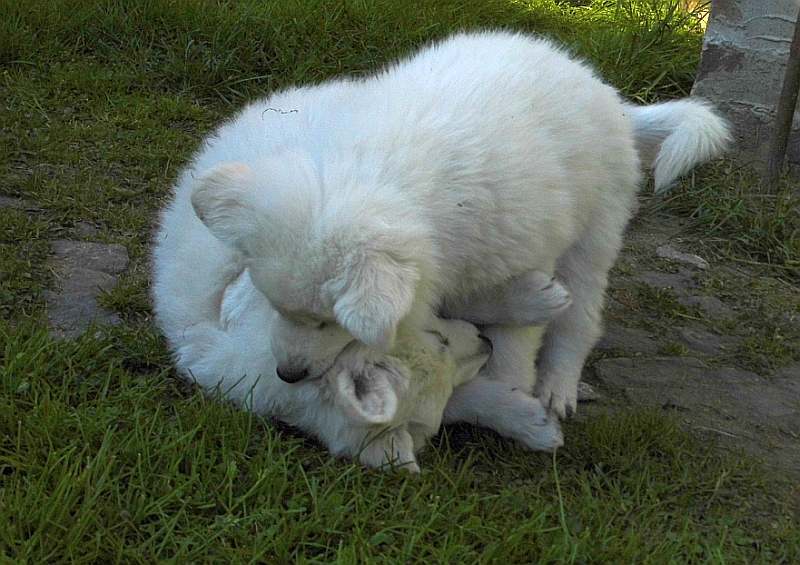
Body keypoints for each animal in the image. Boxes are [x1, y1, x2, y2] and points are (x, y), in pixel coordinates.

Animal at [184, 30, 728, 428]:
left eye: (327, 322)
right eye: (281, 309)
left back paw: (558, 384)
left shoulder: (530, 248)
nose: (288, 374)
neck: (384, 174)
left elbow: (515, 335)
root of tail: (607, 95)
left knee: (581, 317)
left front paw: (510, 386)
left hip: (596, 228)